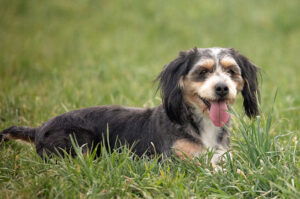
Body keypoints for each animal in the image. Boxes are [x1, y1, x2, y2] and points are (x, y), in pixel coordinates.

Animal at [0, 47, 258, 165]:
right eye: (203, 72)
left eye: (231, 71)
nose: (222, 88)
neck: (201, 124)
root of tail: (40, 128)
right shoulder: (175, 161)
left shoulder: (223, 155)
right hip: (79, 141)